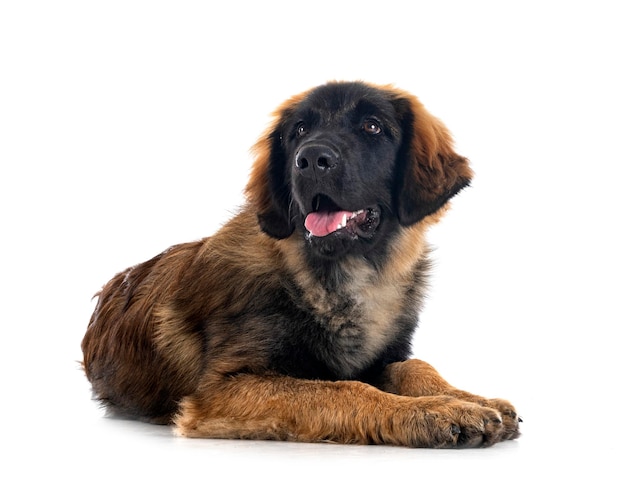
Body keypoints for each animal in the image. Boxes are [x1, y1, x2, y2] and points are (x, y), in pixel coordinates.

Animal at [80, 81, 520, 450]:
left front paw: (468, 397)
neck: (338, 280)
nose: (310, 159)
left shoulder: (382, 359)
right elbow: (346, 390)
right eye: (300, 131)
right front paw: (436, 410)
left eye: (372, 127)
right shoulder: (224, 389)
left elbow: (415, 366)